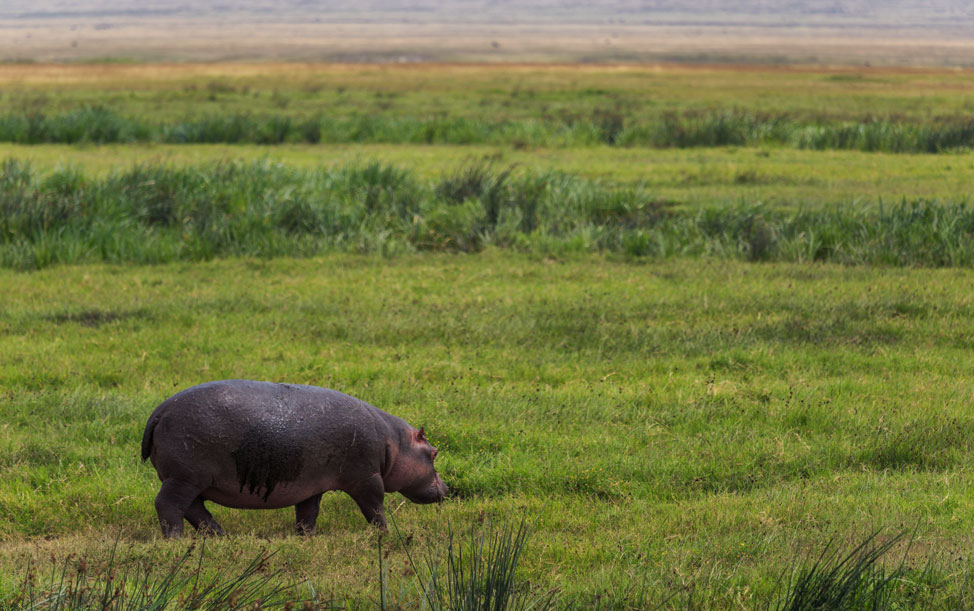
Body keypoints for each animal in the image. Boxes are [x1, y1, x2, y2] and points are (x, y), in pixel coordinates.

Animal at [141, 380, 450, 536]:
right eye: (434, 453)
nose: (447, 488)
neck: (395, 443)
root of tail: (159, 412)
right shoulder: (367, 478)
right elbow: (375, 508)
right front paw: (385, 534)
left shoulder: (312, 485)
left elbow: (308, 513)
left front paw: (306, 538)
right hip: (184, 477)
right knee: (169, 505)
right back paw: (176, 539)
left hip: (193, 480)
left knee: (196, 509)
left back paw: (221, 536)